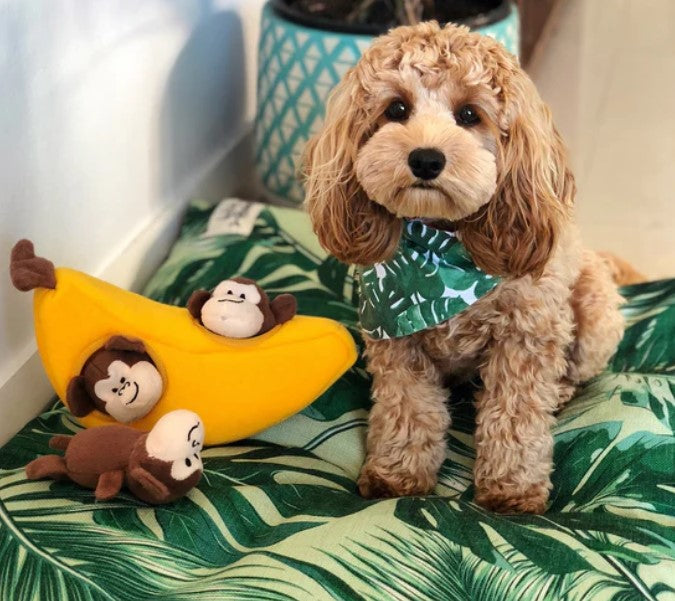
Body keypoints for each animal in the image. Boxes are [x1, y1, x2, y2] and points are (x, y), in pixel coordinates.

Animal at [304, 22, 632, 510]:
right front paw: (397, 475)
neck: (441, 253)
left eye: (470, 114)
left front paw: (512, 489)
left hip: (593, 315)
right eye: (396, 108)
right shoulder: (397, 341)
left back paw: (561, 389)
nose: (426, 158)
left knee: (579, 368)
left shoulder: (525, 335)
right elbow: (409, 409)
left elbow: (516, 416)